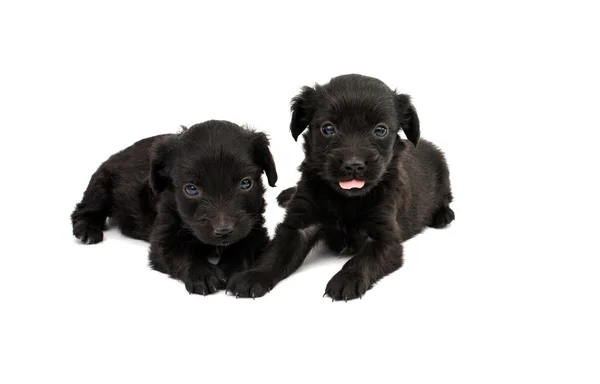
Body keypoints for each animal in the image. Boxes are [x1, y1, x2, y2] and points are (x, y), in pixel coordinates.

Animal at [71, 120, 278, 294]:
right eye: (191, 189)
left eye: (245, 183)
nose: (223, 231)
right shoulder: (164, 234)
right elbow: (181, 253)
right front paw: (202, 274)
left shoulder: (255, 229)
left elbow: (243, 247)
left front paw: (231, 269)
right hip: (101, 184)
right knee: (84, 209)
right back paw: (87, 230)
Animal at [227, 74, 452, 300]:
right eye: (328, 128)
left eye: (380, 130)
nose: (353, 165)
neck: (345, 198)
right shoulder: (298, 226)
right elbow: (276, 253)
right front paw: (254, 275)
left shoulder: (384, 237)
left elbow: (363, 260)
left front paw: (347, 279)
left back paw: (443, 215)